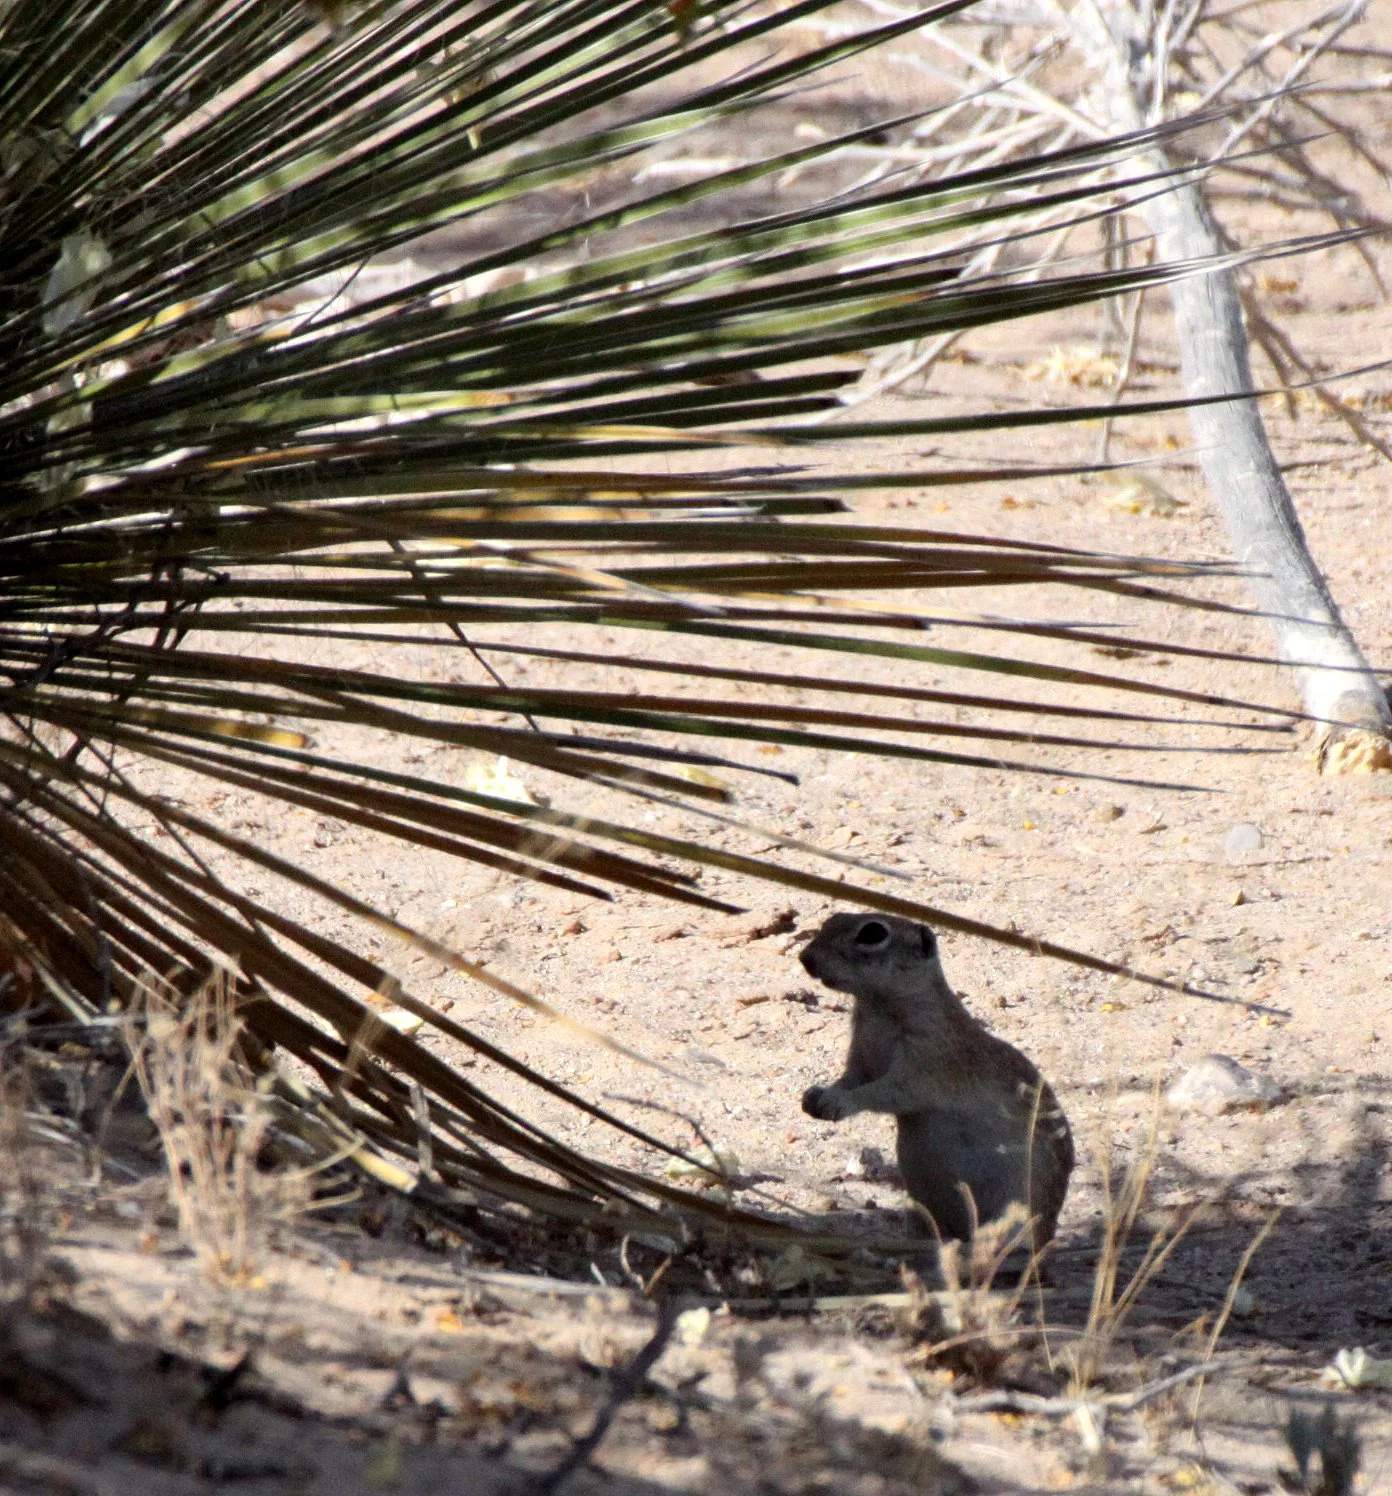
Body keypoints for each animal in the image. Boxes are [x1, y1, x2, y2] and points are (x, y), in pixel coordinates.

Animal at [798, 912, 1073, 1251]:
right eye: (832, 919)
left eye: (873, 933)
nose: (805, 958)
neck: (877, 1007)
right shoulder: (861, 1059)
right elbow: (850, 1079)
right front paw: (815, 1095)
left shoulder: (923, 1065)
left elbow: (881, 1092)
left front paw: (836, 1102)